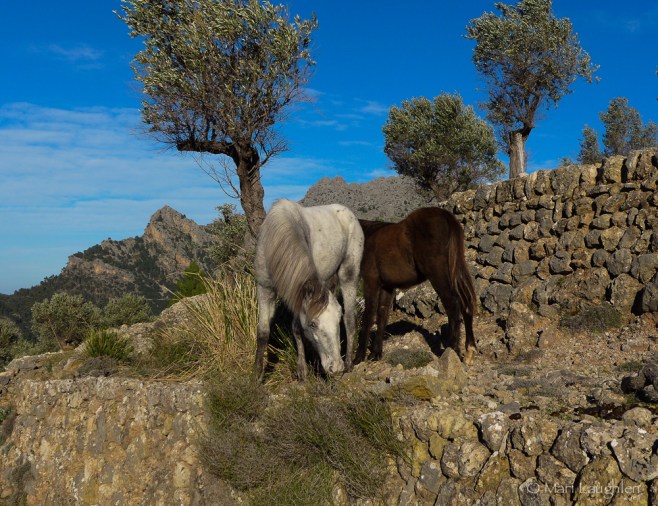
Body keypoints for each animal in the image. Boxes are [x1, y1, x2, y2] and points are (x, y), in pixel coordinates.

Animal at [254, 199, 364, 381]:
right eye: (313, 324)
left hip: (348, 273)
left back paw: (349, 362)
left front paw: (302, 371)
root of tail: (347, 212)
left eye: (337, 321)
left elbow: (296, 328)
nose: (336, 368)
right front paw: (257, 374)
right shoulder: (265, 288)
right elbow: (263, 332)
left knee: (350, 319)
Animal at [355, 207, 477, 365]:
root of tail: (446, 216)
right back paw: (469, 351)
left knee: (452, 304)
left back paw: (453, 349)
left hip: (438, 275)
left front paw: (358, 357)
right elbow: (382, 315)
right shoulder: (386, 286)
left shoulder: (371, 281)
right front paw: (376, 353)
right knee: (465, 304)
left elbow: (368, 315)